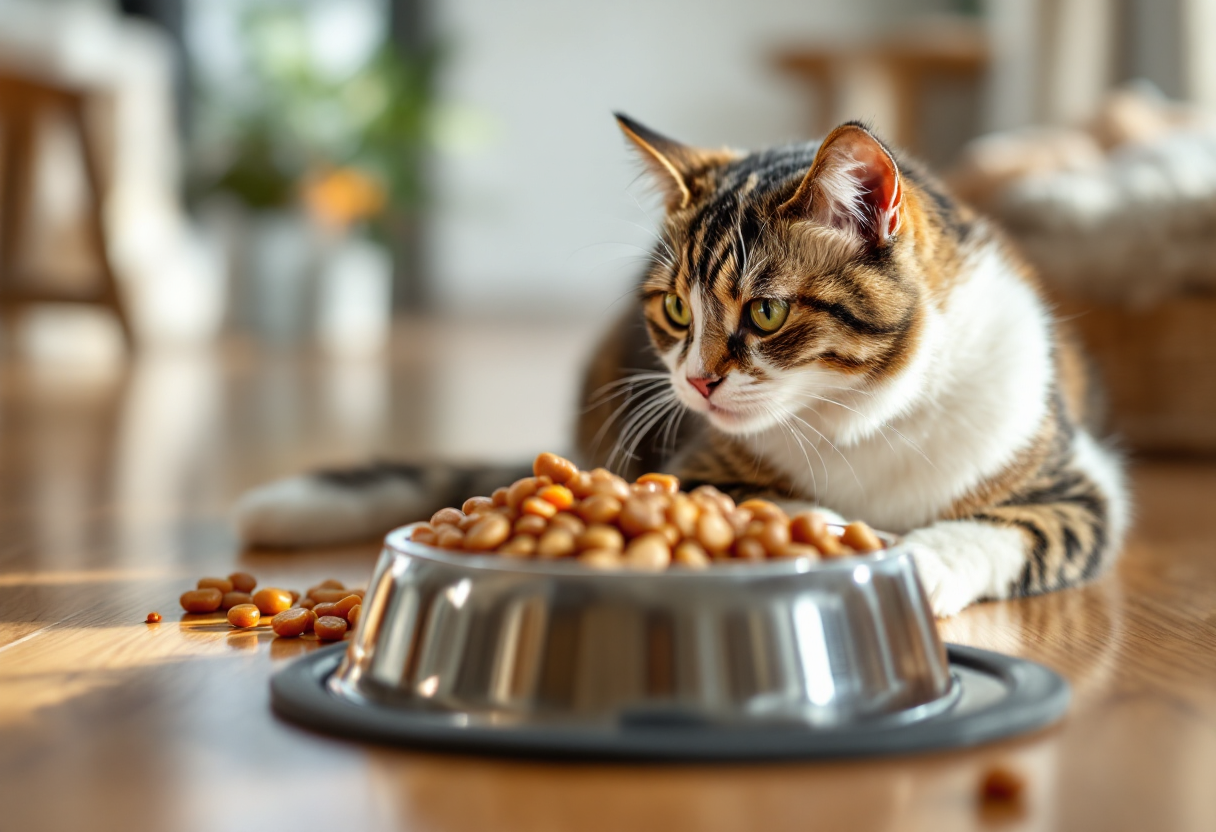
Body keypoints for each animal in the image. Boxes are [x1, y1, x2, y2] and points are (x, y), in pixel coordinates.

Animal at [237, 115, 1128, 617]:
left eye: (765, 312)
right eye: (674, 308)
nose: (697, 382)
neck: (857, 418)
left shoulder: (1077, 482)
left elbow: (1012, 527)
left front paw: (917, 561)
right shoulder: (686, 466)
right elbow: (758, 505)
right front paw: (845, 534)